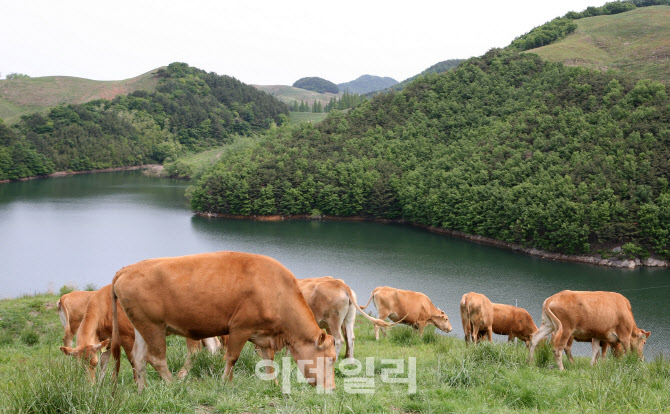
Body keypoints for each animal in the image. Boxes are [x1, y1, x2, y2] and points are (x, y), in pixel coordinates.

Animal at [60, 284, 218, 382]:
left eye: (93, 363)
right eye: (79, 366)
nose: (90, 384)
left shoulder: (127, 336)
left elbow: (132, 361)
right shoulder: (107, 341)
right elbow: (104, 364)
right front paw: (100, 385)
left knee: (194, 350)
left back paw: (182, 375)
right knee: (213, 346)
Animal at [112, 251, 338, 392]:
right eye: (330, 359)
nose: (333, 388)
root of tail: (126, 269)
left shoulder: (264, 335)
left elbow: (268, 360)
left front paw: (273, 385)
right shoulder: (240, 327)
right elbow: (232, 357)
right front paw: (225, 383)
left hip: (141, 326)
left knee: (139, 358)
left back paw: (142, 390)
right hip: (154, 326)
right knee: (156, 358)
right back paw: (171, 384)